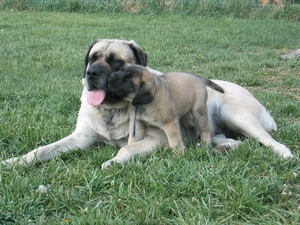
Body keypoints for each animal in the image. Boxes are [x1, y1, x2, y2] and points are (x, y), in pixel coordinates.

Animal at [1, 39, 294, 169]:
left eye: (116, 62)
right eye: (92, 58)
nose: (91, 74)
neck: (112, 110)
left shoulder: (159, 139)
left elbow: (126, 149)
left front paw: (115, 161)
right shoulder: (82, 137)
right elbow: (43, 150)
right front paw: (15, 161)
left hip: (236, 114)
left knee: (267, 139)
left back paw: (284, 154)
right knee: (219, 139)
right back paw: (226, 147)